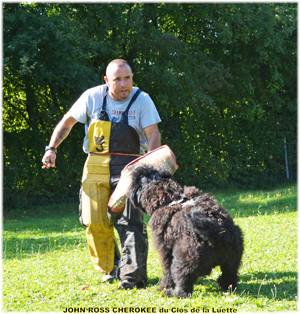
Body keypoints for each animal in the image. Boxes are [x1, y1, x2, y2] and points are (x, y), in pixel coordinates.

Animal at [128, 166, 244, 298]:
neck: (171, 198)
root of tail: (218, 234)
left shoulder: (165, 250)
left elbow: (167, 271)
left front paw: (163, 286)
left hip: (182, 261)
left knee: (183, 288)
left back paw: (170, 292)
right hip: (233, 260)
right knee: (230, 276)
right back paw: (224, 285)